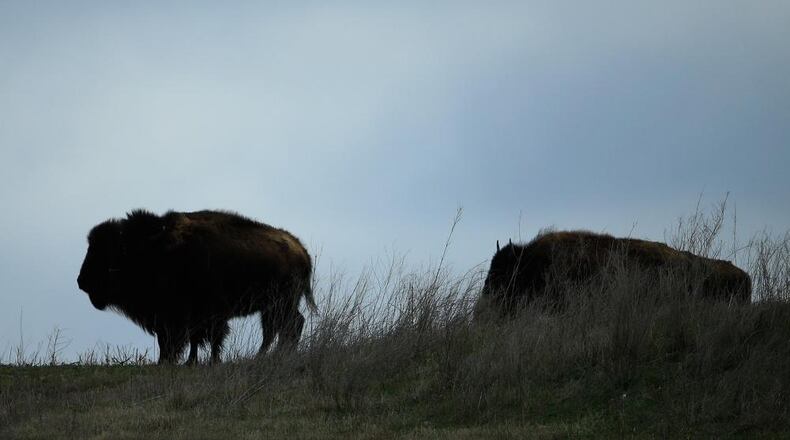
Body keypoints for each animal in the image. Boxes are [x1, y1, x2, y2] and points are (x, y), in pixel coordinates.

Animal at [77, 209, 316, 364]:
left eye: (107, 253)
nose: (81, 281)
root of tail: (301, 250)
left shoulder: (195, 314)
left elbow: (207, 338)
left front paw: (208, 361)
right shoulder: (182, 317)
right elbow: (193, 339)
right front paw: (187, 362)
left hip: (279, 304)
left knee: (284, 327)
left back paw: (269, 355)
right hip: (274, 306)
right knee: (284, 326)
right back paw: (274, 355)